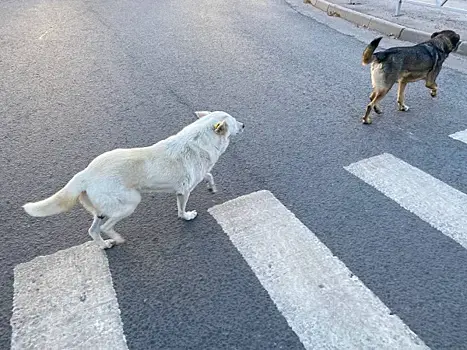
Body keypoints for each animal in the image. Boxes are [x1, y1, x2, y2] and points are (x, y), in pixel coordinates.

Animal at [22, 110, 245, 247]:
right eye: (235, 121)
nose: (244, 125)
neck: (201, 138)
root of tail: (85, 173)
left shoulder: (195, 178)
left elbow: (209, 174)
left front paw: (211, 187)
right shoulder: (184, 191)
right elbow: (182, 209)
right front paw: (187, 216)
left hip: (102, 210)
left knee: (93, 231)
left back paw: (104, 245)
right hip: (130, 203)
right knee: (106, 227)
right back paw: (117, 238)